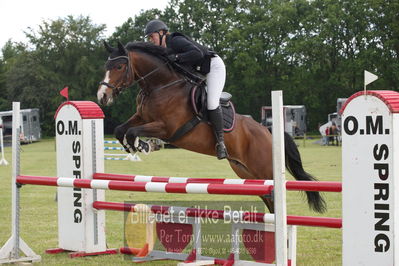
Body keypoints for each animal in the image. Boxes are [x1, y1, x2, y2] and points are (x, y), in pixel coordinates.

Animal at [98, 40, 326, 213]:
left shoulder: (168, 128)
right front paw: (133, 146)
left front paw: (143, 145)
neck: (160, 86)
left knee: (274, 195)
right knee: (268, 198)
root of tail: (267, 131)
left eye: (119, 67)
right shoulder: (141, 117)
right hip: (245, 172)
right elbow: (121, 129)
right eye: (105, 67)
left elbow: (132, 131)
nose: (102, 96)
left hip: (264, 169)